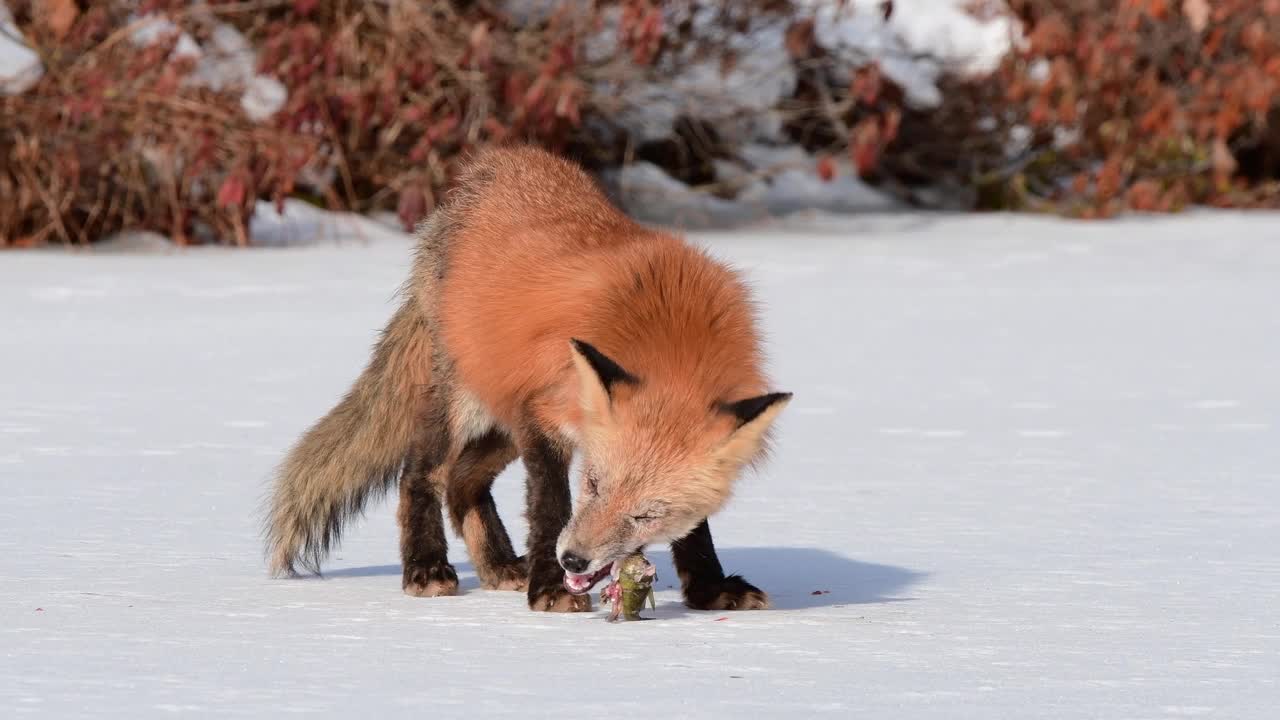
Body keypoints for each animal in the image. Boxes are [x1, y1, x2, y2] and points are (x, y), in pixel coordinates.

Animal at [264, 146, 788, 609]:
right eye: (592, 485)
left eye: (645, 514)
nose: (574, 561)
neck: (672, 341)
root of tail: (491, 167)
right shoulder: (544, 415)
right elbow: (551, 509)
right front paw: (550, 589)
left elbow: (695, 528)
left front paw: (709, 588)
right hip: (467, 402)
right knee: (421, 475)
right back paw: (426, 567)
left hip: (504, 413)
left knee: (462, 482)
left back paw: (497, 565)